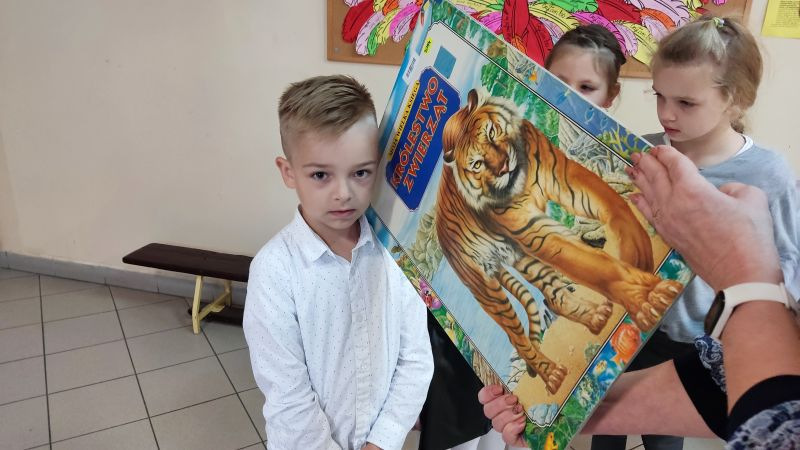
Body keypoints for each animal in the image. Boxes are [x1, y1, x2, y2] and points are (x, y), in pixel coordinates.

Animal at [436, 88, 682, 394]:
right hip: (485, 287)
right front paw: (648, 299)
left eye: (491, 133)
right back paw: (552, 375)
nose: (504, 166)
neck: (521, 180)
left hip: (521, 257)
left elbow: (614, 205)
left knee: (553, 296)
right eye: (477, 164)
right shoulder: (533, 231)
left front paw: (638, 252)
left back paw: (595, 317)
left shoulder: (562, 178)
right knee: (519, 338)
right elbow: (597, 267)